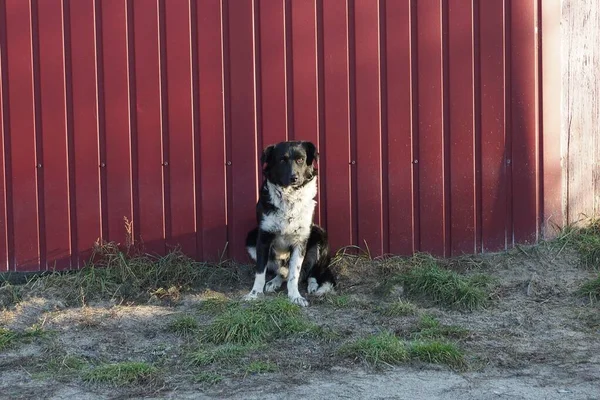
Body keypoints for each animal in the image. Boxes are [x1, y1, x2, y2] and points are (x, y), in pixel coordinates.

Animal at [244, 141, 338, 306]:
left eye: (301, 159)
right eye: (282, 160)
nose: (294, 177)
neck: (289, 197)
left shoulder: (300, 241)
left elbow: (294, 274)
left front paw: (295, 296)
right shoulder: (263, 237)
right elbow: (260, 272)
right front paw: (255, 294)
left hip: (320, 235)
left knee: (311, 273)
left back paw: (313, 286)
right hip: (251, 237)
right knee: (283, 272)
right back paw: (274, 282)